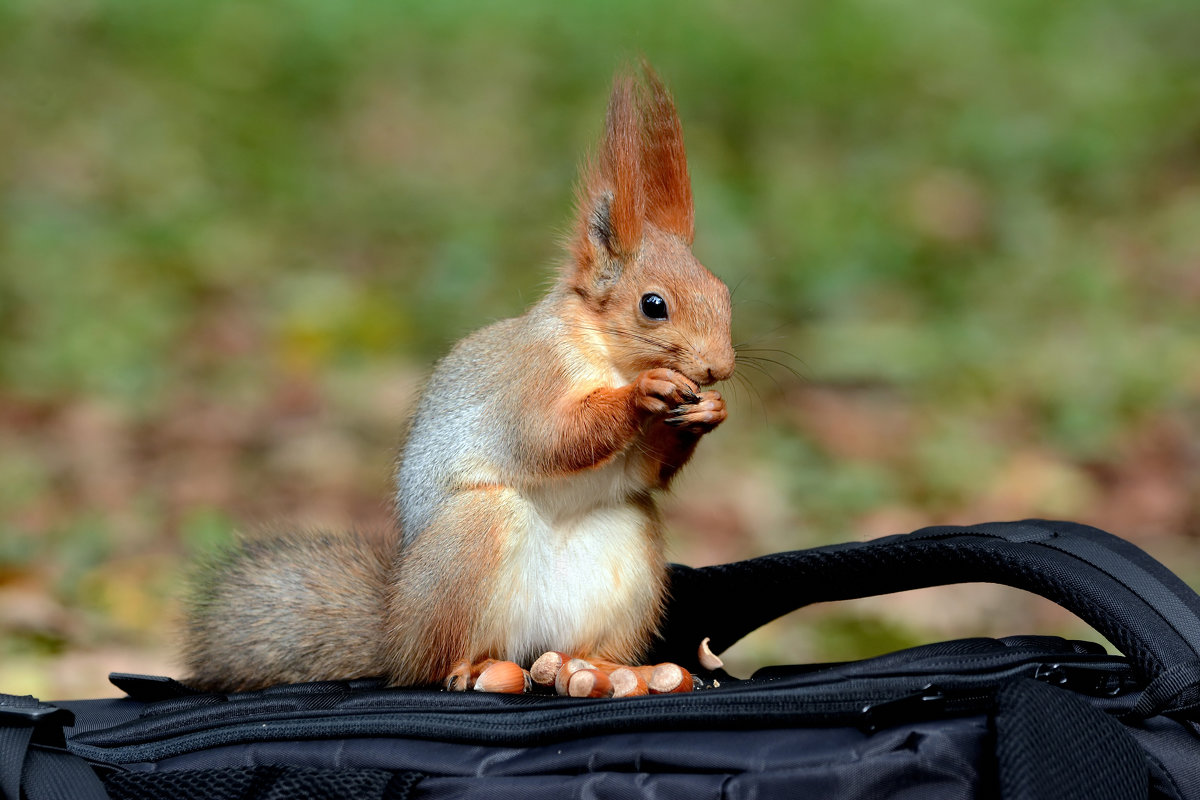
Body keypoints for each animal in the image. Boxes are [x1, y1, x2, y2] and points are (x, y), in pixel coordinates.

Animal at [182, 67, 734, 695]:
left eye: (723, 291)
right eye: (653, 305)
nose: (718, 367)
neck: (607, 357)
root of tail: (394, 631)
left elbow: (642, 471)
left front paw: (707, 412)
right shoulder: (531, 378)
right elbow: (549, 439)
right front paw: (644, 395)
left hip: (627, 555)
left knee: (580, 646)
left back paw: (604, 670)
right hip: (470, 541)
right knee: (438, 661)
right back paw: (477, 670)